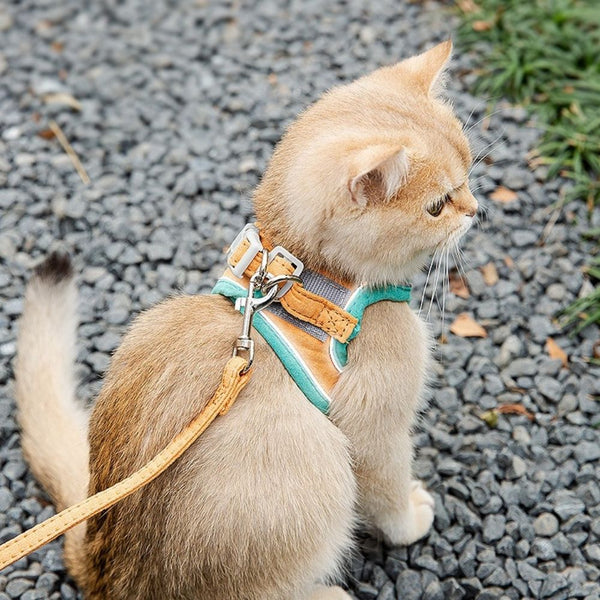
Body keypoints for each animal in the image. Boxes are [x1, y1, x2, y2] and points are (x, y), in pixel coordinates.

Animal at [14, 39, 478, 596]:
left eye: (469, 173)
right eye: (437, 206)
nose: (475, 209)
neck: (311, 281)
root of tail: (109, 575)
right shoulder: (377, 432)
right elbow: (388, 494)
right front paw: (411, 521)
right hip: (321, 466)